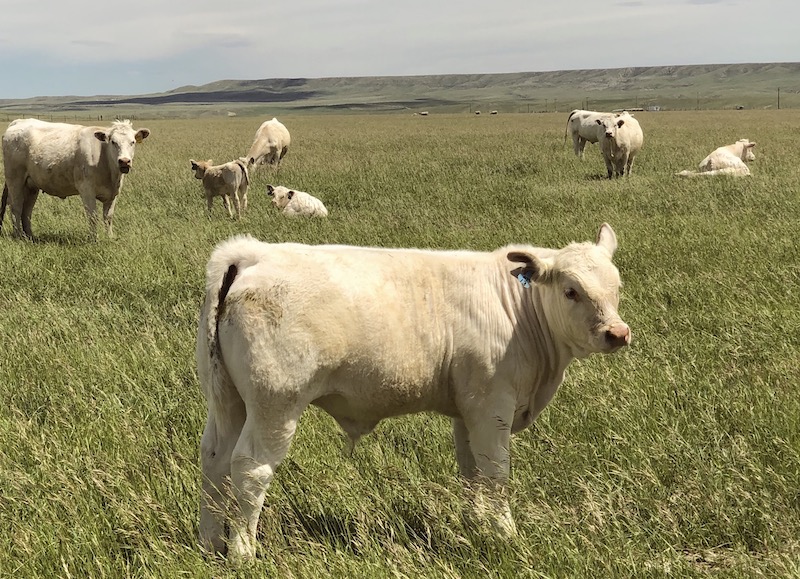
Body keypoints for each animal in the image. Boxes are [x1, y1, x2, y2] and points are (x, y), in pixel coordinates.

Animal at [1, 118, 150, 240]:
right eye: (113, 142)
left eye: (133, 142)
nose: (124, 161)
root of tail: (19, 122)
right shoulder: (86, 190)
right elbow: (93, 216)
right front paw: (94, 239)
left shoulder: (113, 193)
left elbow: (108, 217)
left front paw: (110, 238)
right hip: (15, 180)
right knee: (16, 207)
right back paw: (19, 236)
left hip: (31, 186)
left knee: (27, 211)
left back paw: (30, 236)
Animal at [196, 223, 631, 561]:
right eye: (571, 290)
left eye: (617, 286)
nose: (618, 333)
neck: (519, 311)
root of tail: (254, 253)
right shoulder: (492, 405)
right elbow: (496, 472)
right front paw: (506, 534)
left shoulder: (468, 410)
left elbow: (471, 471)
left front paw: (477, 525)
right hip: (275, 404)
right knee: (250, 468)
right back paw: (243, 552)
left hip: (228, 400)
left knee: (214, 460)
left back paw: (211, 542)